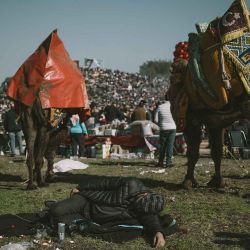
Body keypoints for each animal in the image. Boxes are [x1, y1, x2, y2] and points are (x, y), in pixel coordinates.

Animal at [6, 29, 89, 189]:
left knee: (31, 154)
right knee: (40, 154)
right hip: (43, 123)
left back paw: (31, 184)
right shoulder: (54, 125)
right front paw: (50, 175)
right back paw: (41, 181)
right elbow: (50, 151)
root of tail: (36, 93)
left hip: (28, 121)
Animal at [169, 0, 250, 188]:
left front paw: (187, 182)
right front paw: (217, 182)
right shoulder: (215, 120)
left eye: (174, 75)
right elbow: (217, 151)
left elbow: (193, 152)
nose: (168, 95)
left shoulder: (192, 118)